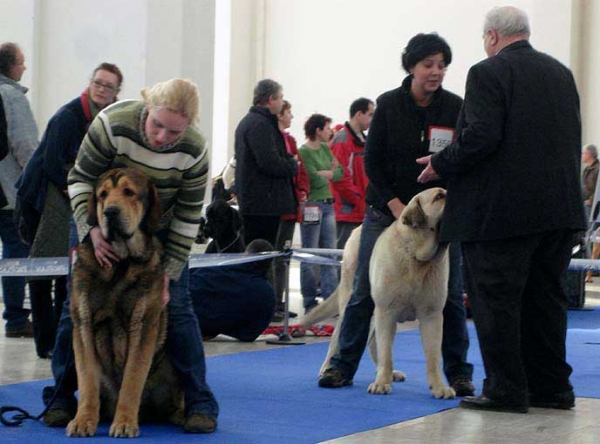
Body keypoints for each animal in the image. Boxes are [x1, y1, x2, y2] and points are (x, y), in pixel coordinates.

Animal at [66, 169, 182, 438]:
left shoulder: (143, 325)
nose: (110, 211)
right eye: (103, 195)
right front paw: (83, 421)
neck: (120, 262)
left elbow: (132, 379)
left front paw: (125, 423)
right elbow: (87, 379)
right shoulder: (83, 323)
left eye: (129, 192)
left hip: (170, 372)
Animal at [300, 187, 454, 398]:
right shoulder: (386, 311)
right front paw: (381, 383)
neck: (416, 256)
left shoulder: (431, 315)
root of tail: (356, 231)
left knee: (373, 341)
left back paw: (390, 373)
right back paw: (329, 369)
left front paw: (439, 387)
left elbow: (433, 357)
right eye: (439, 197)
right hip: (353, 300)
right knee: (339, 336)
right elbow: (386, 352)